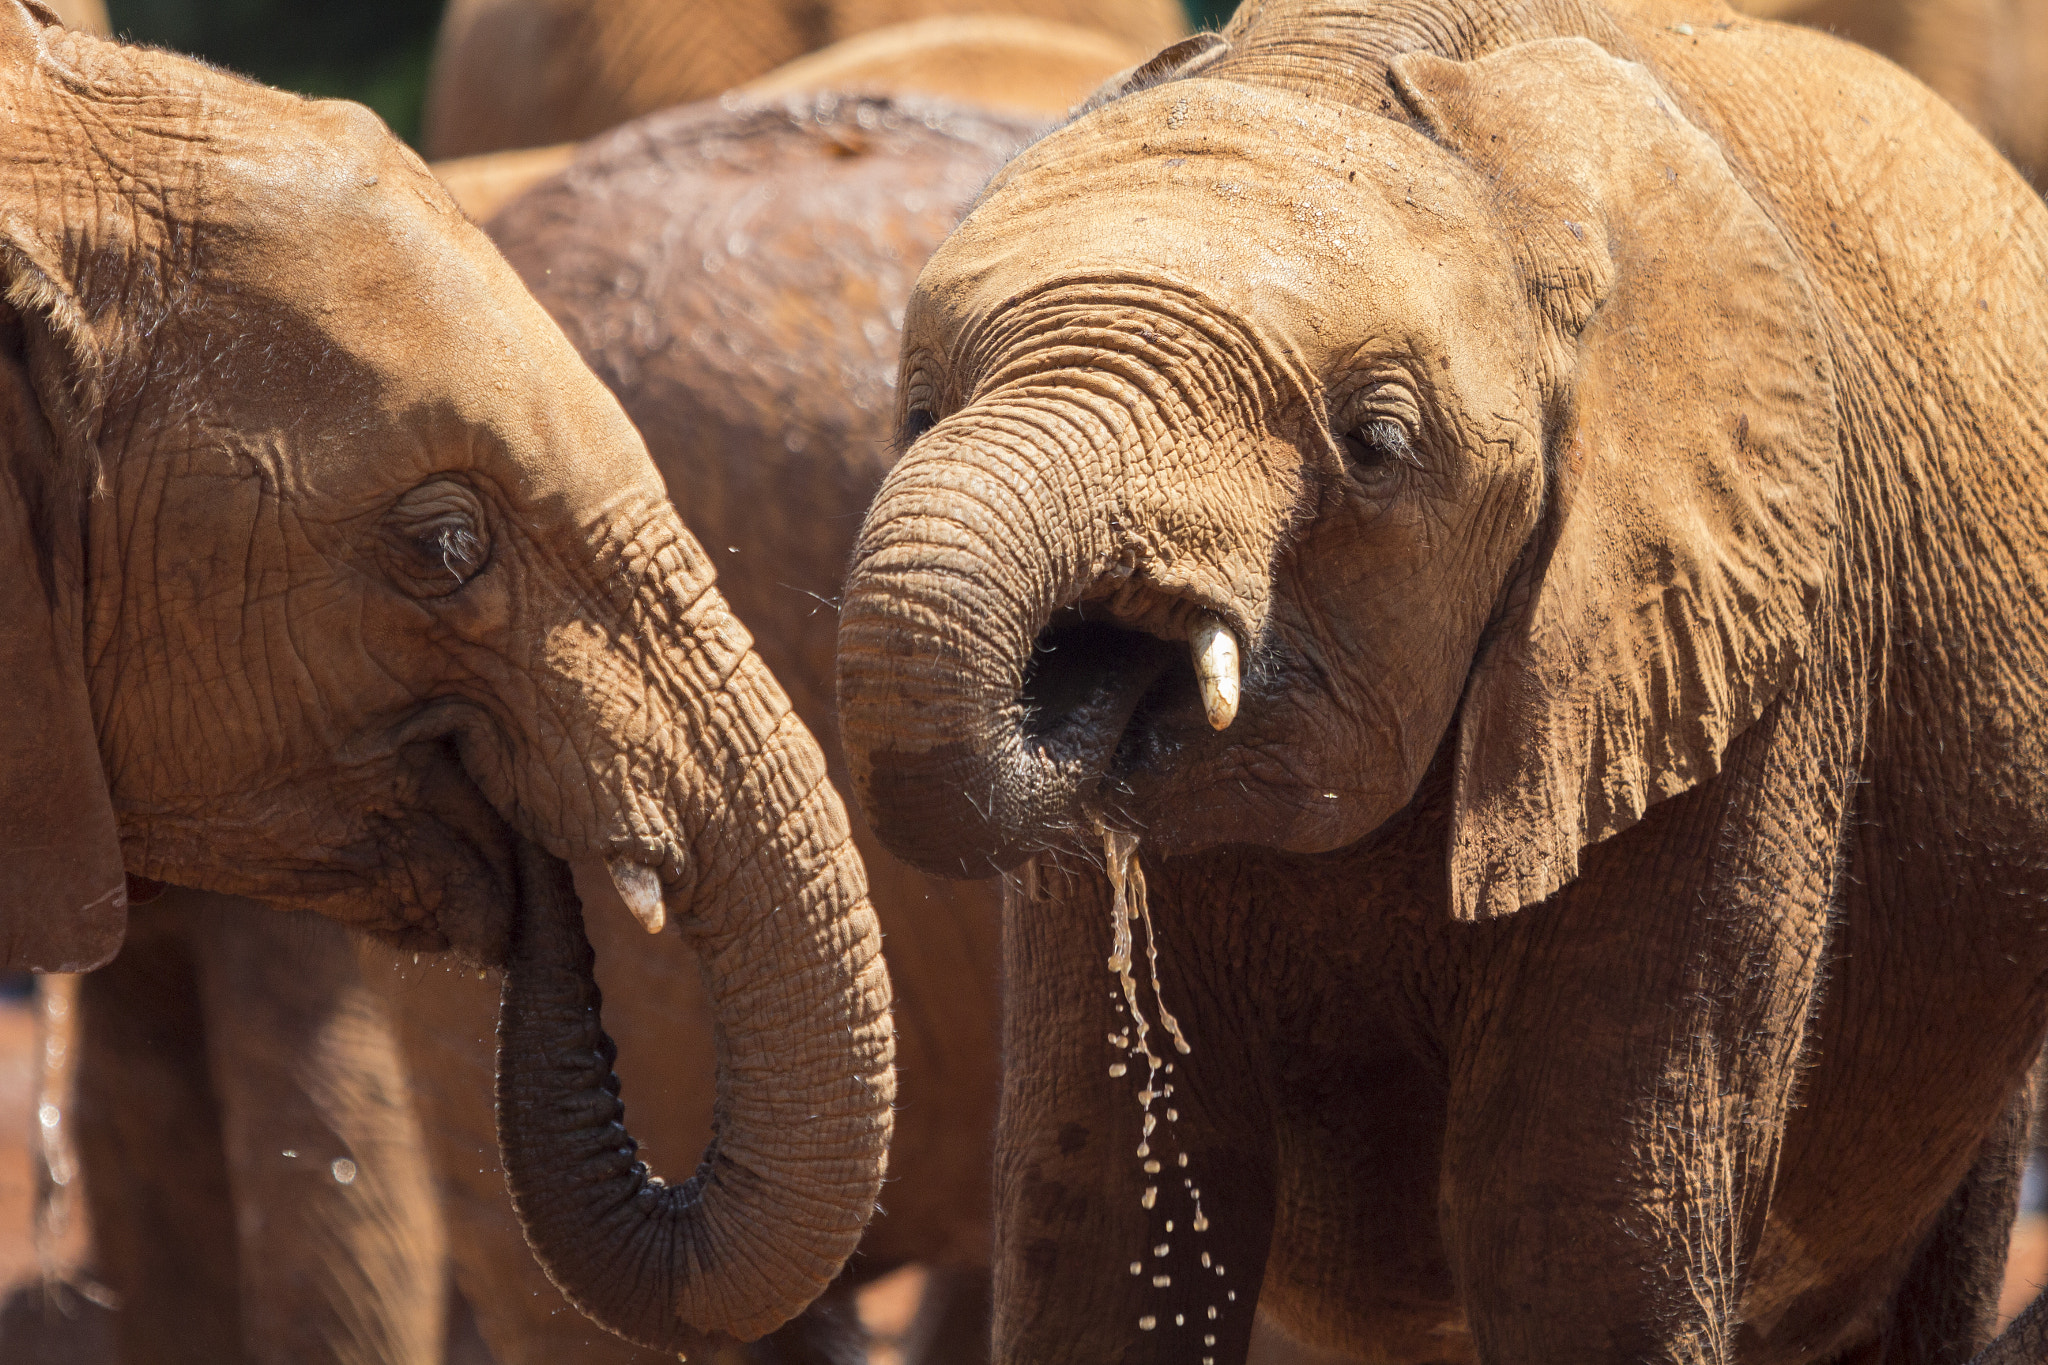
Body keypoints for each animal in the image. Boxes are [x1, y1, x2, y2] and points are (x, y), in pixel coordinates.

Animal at [835, 0, 2048, 1358]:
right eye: (920, 409)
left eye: (1373, 445)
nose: (1077, 684)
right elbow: (1102, 1221)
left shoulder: (1750, 648)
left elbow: (1578, 1234)